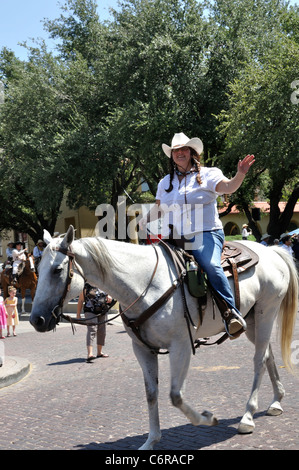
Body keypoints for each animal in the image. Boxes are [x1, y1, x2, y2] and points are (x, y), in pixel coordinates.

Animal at [29, 226, 298, 450]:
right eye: (37, 269)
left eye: (57, 270)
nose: (36, 320)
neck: (144, 284)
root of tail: (272, 251)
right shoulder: (142, 349)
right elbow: (151, 393)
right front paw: (151, 440)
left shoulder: (181, 346)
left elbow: (175, 395)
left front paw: (206, 418)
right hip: (251, 322)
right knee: (267, 354)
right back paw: (276, 402)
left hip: (266, 313)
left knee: (258, 361)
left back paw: (248, 416)